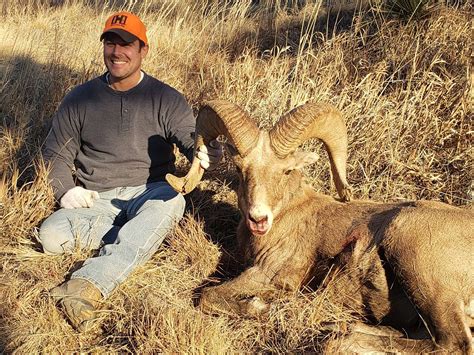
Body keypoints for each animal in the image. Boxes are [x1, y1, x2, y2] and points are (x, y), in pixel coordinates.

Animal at [165, 100, 472, 354]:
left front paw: (260, 307)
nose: (258, 219)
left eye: (286, 170)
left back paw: (342, 339)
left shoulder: (268, 274)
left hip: (415, 258)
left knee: (453, 343)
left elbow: (207, 295)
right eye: (241, 169)